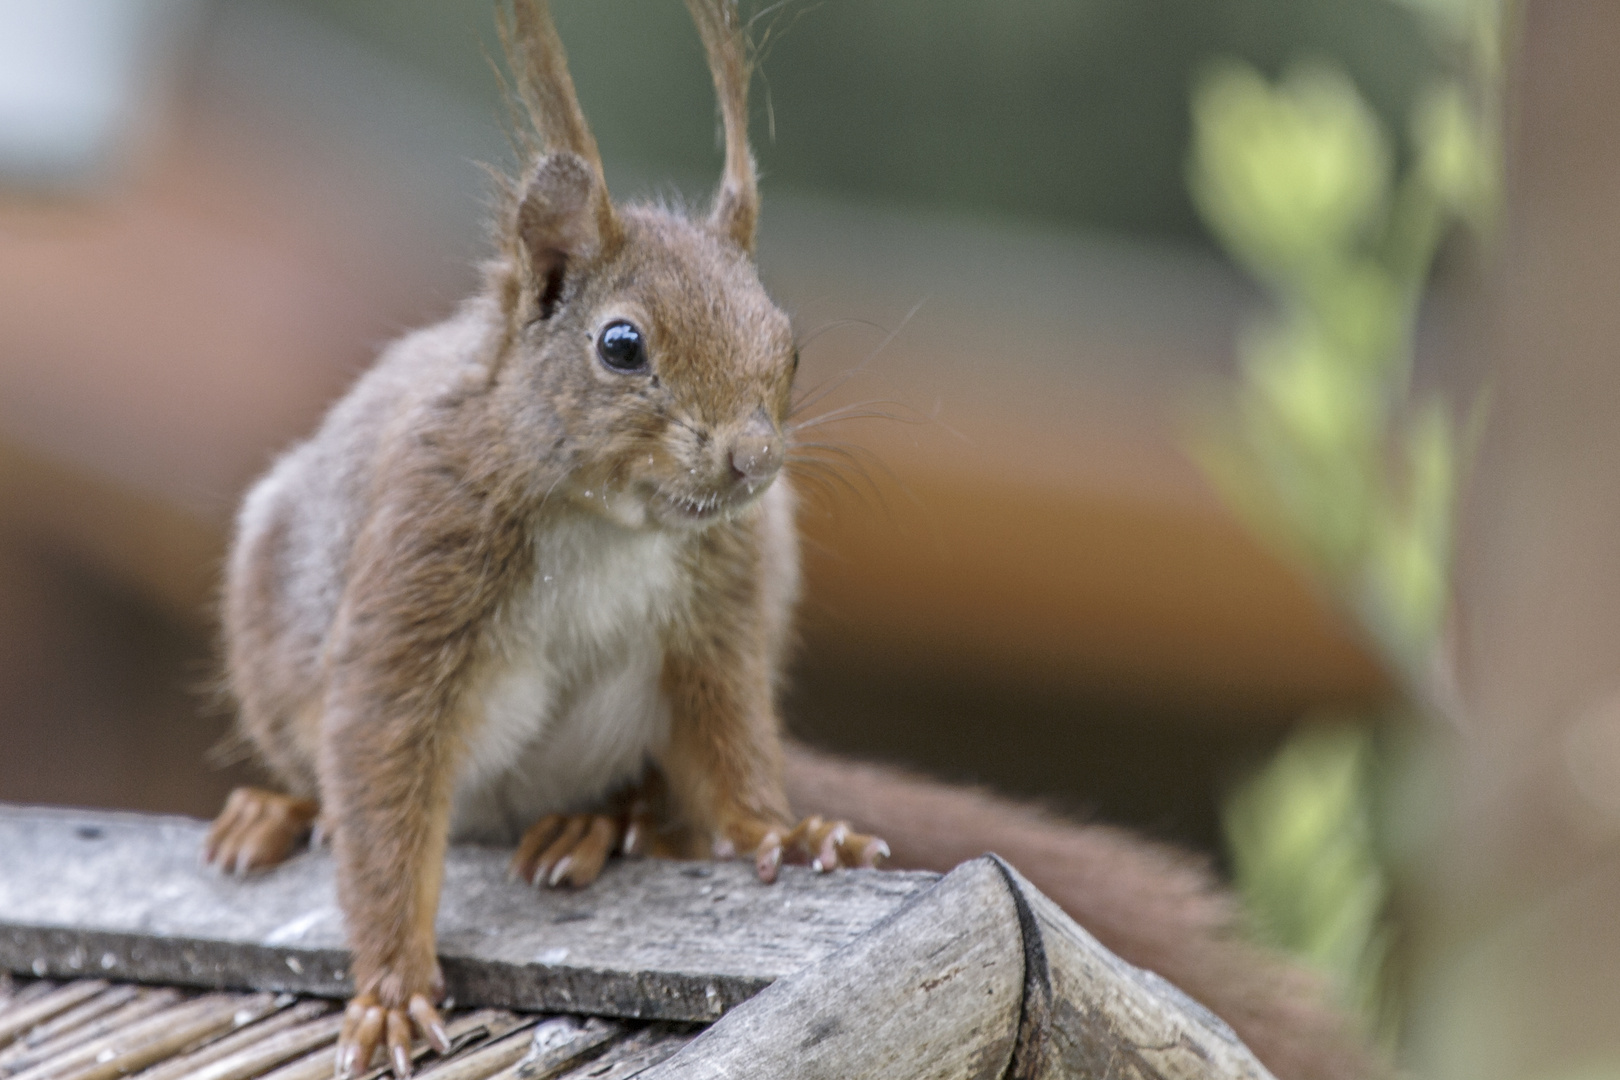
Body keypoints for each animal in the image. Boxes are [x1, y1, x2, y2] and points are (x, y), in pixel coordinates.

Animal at [199, 2, 1367, 1080]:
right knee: (324, 772)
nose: (752, 460)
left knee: (666, 794)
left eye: (789, 344)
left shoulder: (726, 597)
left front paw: (790, 835)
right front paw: (392, 987)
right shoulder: (422, 552)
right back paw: (279, 809)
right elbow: (383, 768)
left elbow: (729, 739)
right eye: (620, 345)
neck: (609, 522)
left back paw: (607, 824)